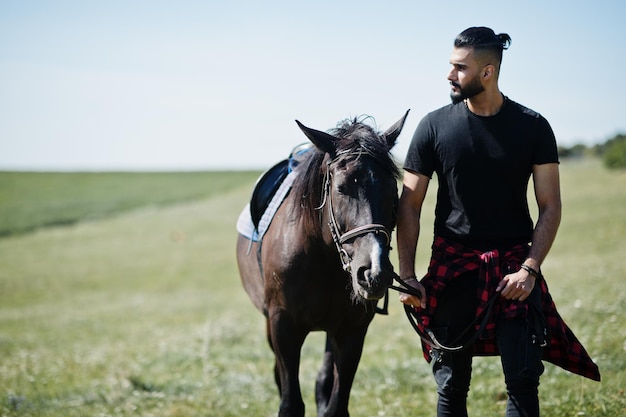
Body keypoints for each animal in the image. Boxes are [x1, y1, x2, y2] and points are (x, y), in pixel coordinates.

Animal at [236, 111, 408, 416]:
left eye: (392, 189)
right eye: (341, 188)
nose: (374, 272)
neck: (322, 258)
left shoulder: (352, 329)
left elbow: (336, 404)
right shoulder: (283, 326)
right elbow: (290, 402)